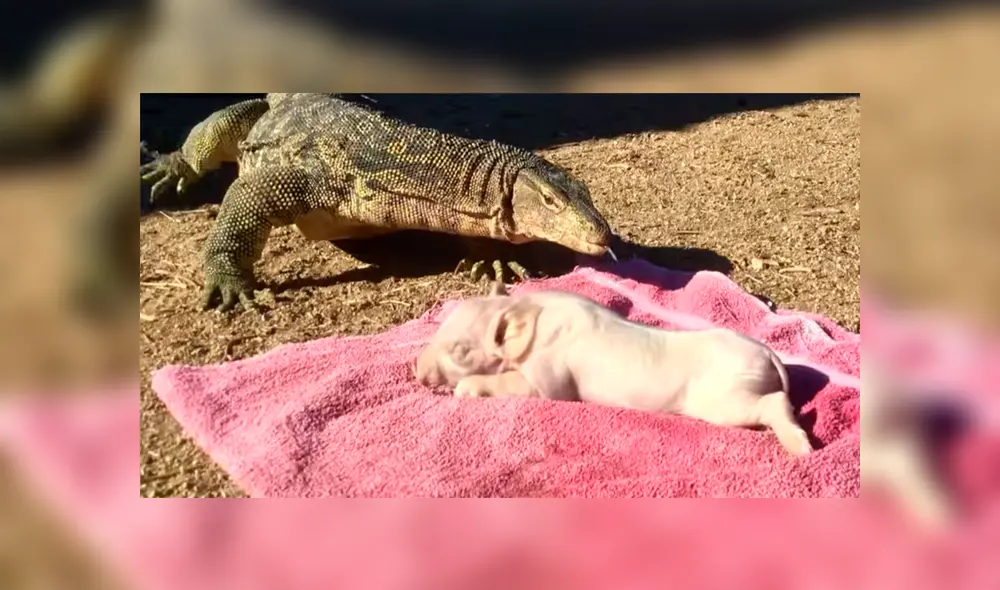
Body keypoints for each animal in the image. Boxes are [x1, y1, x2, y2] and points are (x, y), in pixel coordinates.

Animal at [415, 282, 813, 456]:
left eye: (461, 350)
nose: (416, 370)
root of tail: (769, 356)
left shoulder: (551, 375)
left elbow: (532, 388)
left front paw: (464, 390)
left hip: (723, 397)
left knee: (773, 403)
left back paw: (801, 450)